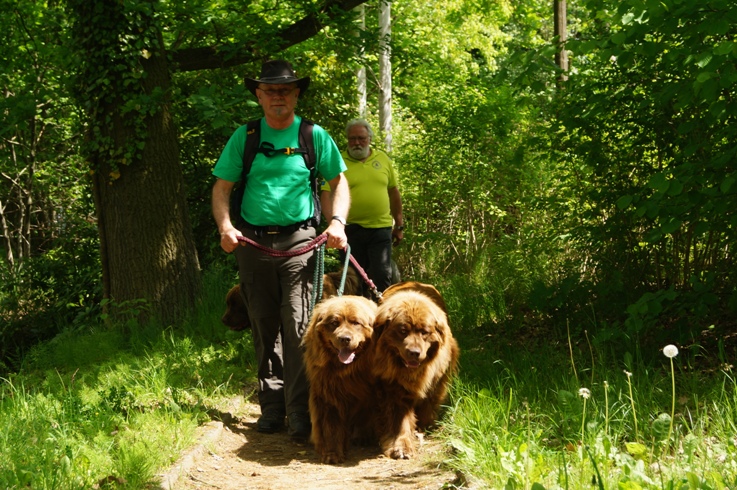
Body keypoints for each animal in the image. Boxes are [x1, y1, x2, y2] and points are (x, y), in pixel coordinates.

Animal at [300, 294, 380, 464]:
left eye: (356, 323)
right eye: (334, 323)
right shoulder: (328, 395)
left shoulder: (368, 393)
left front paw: (362, 435)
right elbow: (331, 427)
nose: (344, 338)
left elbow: (365, 415)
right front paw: (332, 454)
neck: (347, 371)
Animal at [370, 282, 458, 462]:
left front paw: (423, 427)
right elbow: (399, 419)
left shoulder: (437, 380)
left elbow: (428, 405)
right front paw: (402, 445)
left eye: (424, 332)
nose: (414, 352)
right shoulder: (393, 387)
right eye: (403, 331)